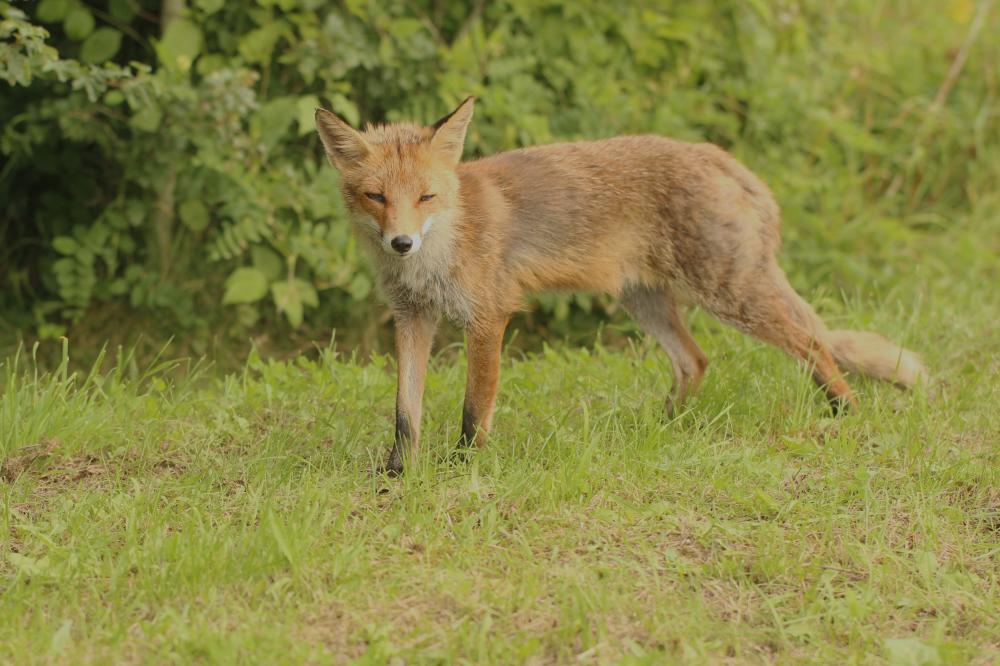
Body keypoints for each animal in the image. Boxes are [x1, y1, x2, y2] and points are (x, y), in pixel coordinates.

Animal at [316, 96, 924, 474]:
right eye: (376, 197)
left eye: (426, 197)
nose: (401, 243)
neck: (442, 246)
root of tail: (717, 156)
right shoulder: (413, 317)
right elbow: (405, 412)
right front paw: (397, 475)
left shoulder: (489, 317)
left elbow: (472, 408)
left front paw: (462, 469)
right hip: (645, 299)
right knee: (696, 359)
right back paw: (665, 426)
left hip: (730, 295)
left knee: (814, 344)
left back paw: (845, 415)